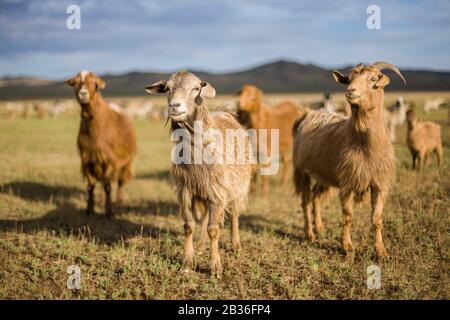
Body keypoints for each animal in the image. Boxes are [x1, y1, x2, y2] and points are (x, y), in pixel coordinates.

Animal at [64, 71, 136, 219]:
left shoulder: (110, 160)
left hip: (126, 161)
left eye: (94, 83)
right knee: (102, 181)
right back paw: (101, 200)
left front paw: (109, 212)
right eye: (75, 83)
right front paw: (89, 209)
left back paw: (118, 200)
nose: (83, 93)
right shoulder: (87, 159)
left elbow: (108, 186)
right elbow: (91, 186)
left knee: (120, 181)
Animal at [147, 70, 253, 278]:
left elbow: (214, 229)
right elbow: (189, 226)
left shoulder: (218, 191)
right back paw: (202, 244)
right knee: (204, 219)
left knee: (235, 215)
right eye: (167, 88)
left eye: (196, 88)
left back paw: (235, 244)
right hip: (204, 192)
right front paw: (187, 264)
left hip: (237, 187)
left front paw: (215, 267)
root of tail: (224, 112)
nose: (175, 106)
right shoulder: (186, 191)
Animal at [292, 62, 404, 258]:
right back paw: (310, 234)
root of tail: (308, 113)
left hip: (323, 174)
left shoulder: (378, 183)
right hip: (302, 171)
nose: (350, 91)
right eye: (349, 80)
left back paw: (319, 227)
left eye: (373, 79)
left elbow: (377, 218)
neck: (365, 144)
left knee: (315, 197)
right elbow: (348, 215)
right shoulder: (348, 182)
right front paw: (347, 246)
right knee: (305, 202)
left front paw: (381, 251)